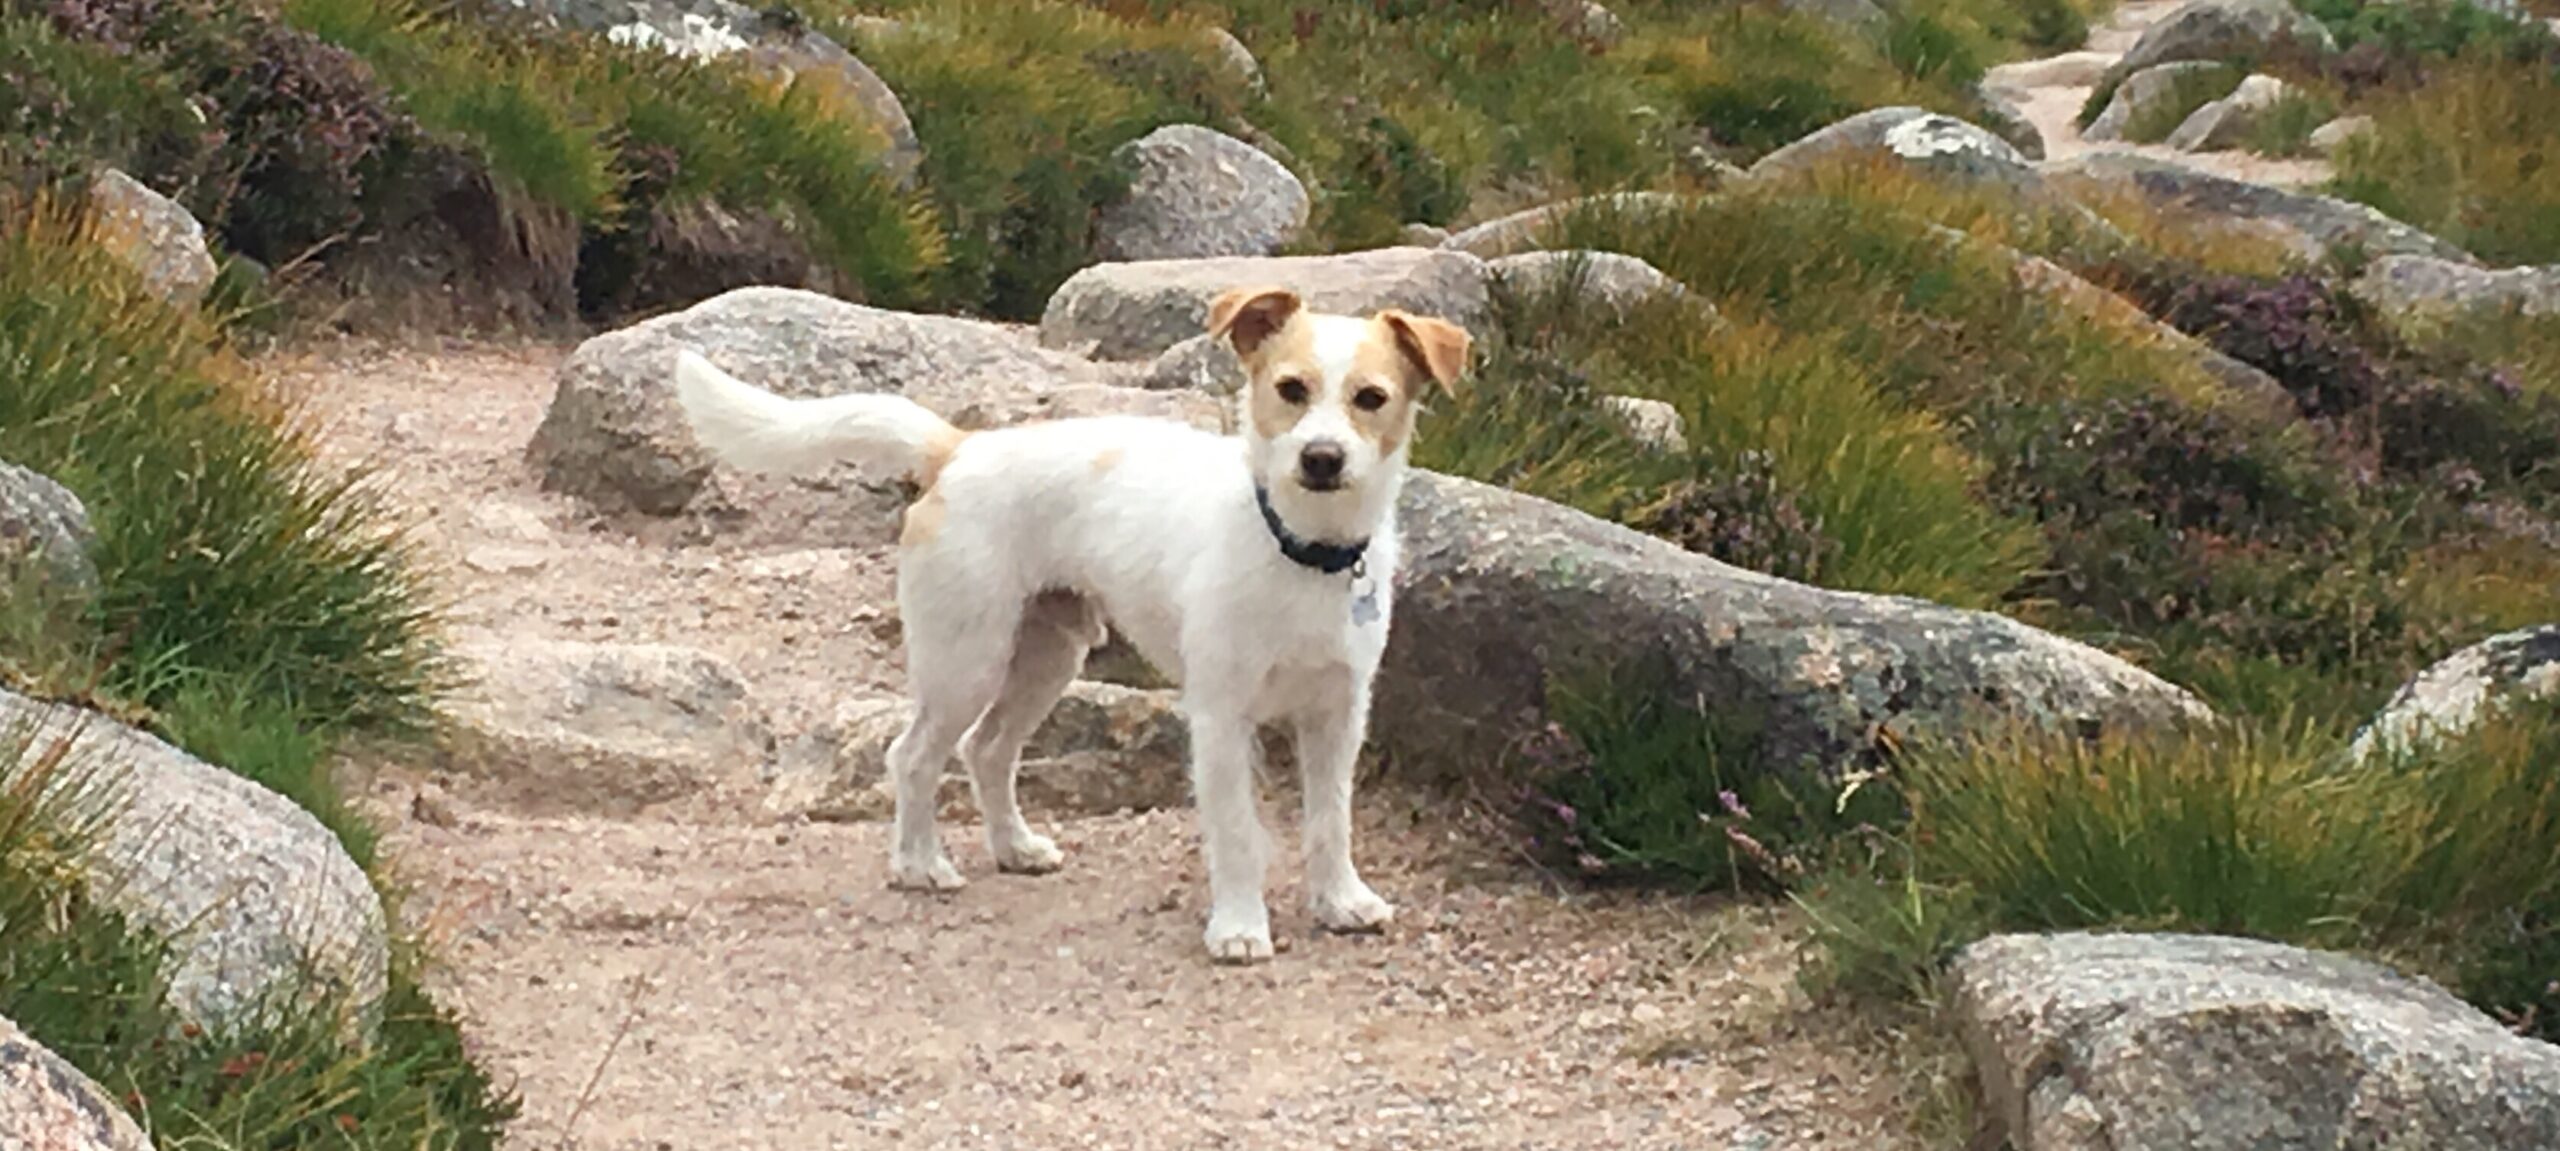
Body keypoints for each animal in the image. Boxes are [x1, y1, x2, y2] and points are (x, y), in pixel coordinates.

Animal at [670, 287, 1474, 961]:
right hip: (966, 661)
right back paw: (920, 863)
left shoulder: (1338, 715)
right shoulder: (1221, 718)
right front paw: (1240, 927)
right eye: (1291, 389)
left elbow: (1331, 821)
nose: (1322, 458)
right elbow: (1238, 833)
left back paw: (1014, 846)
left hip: (1045, 658)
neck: (1299, 548)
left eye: (1371, 398)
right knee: (915, 755)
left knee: (988, 750)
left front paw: (1340, 901)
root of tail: (957, 449)